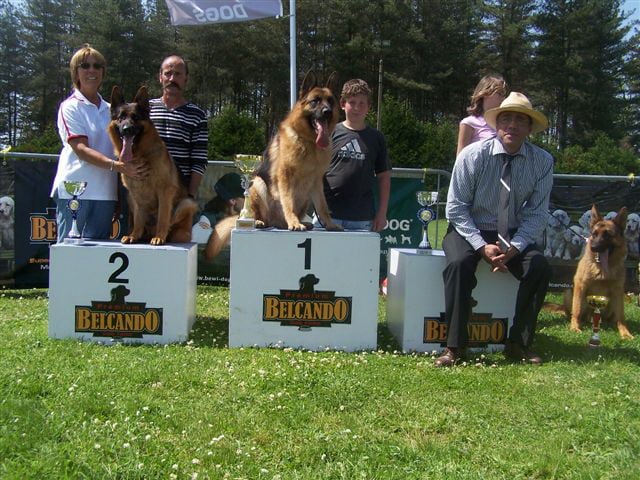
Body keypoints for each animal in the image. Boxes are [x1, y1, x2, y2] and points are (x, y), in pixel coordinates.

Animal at [108, 86, 197, 245]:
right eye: (121, 118)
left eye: (136, 118)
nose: (126, 129)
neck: (140, 155)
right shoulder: (135, 194)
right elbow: (138, 219)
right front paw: (133, 235)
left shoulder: (165, 191)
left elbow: (162, 217)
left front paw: (159, 237)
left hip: (187, 203)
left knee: (170, 222)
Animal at [206, 72, 342, 258]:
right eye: (315, 101)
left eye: (330, 101)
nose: (327, 112)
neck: (309, 142)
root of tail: (275, 222)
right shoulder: (285, 176)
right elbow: (288, 201)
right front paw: (294, 222)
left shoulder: (316, 182)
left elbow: (322, 206)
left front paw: (329, 224)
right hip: (257, 184)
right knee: (260, 213)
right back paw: (260, 221)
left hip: (306, 197)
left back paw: (299, 223)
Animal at [570, 205, 633, 339]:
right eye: (594, 234)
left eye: (607, 235)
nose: (593, 247)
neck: (601, 270)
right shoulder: (580, 285)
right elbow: (576, 309)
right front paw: (574, 327)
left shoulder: (618, 290)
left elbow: (621, 316)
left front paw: (625, 333)